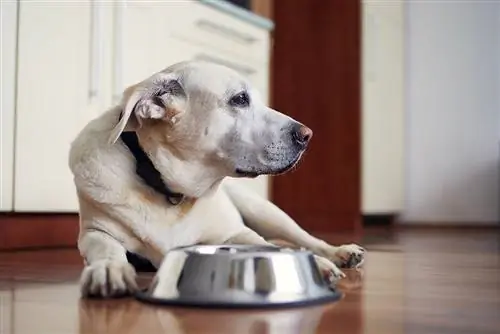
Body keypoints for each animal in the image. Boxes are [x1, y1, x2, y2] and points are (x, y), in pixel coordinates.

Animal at [68, 60, 366, 298]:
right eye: (240, 99)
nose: (307, 135)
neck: (169, 190)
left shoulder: (236, 232)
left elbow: (265, 245)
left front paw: (317, 264)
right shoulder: (95, 232)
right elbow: (106, 248)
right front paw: (109, 268)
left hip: (265, 212)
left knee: (304, 237)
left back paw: (338, 252)